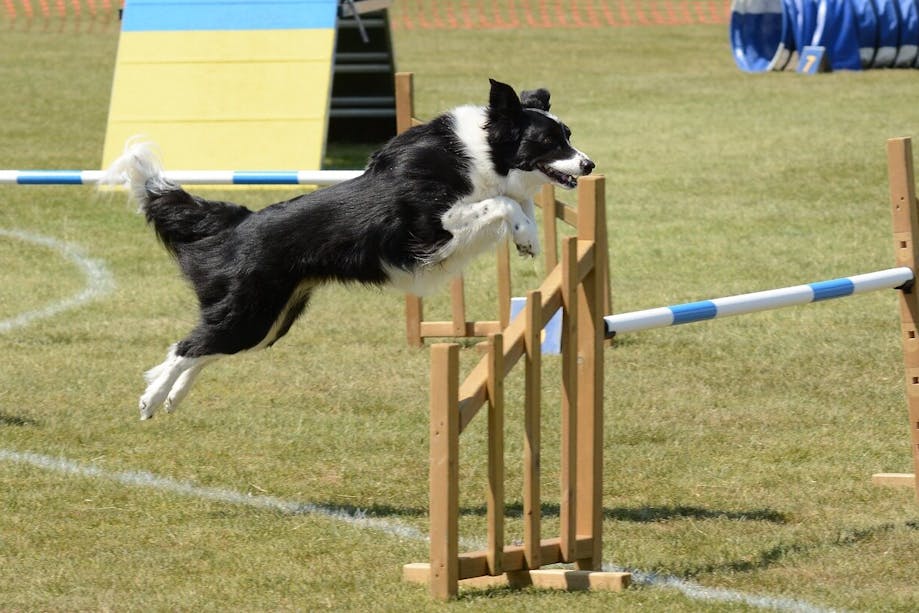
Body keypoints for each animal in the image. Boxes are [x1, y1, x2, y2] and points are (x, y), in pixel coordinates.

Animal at [106, 79, 596, 418]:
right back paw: (151, 399)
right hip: (252, 311)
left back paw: (170, 398)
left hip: (271, 322)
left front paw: (528, 238)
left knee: (201, 349)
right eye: (549, 141)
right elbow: (502, 201)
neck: (485, 153)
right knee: (187, 344)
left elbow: (518, 202)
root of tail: (240, 222)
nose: (589, 164)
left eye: (569, 134)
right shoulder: (430, 228)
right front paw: (525, 233)